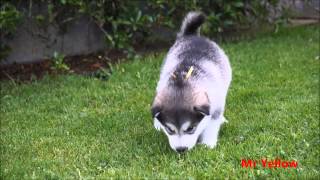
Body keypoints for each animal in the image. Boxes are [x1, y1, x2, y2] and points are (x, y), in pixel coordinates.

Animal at [151, 11, 231, 153]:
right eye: (170, 130)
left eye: (190, 129)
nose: (181, 149)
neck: (182, 82)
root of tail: (192, 35)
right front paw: (158, 124)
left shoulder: (215, 108)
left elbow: (211, 125)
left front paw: (208, 144)